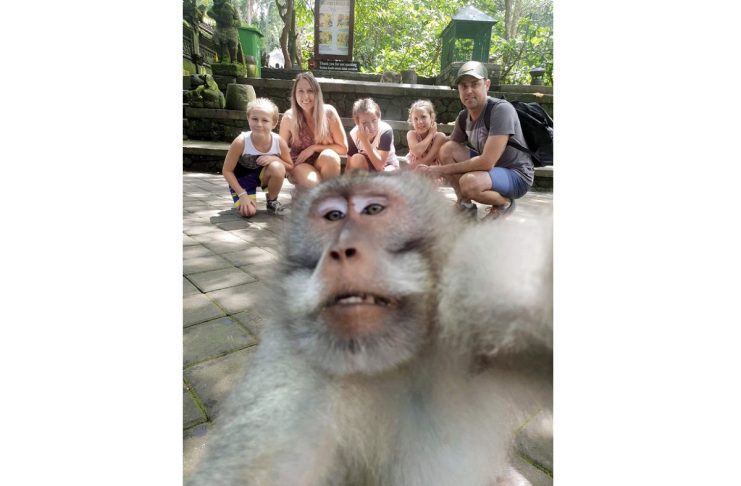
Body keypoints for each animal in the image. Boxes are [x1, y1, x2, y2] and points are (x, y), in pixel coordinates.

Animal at [185, 171, 553, 486]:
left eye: (373, 210)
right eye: (333, 216)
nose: (340, 250)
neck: (382, 367)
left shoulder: (476, 279)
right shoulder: (287, 378)